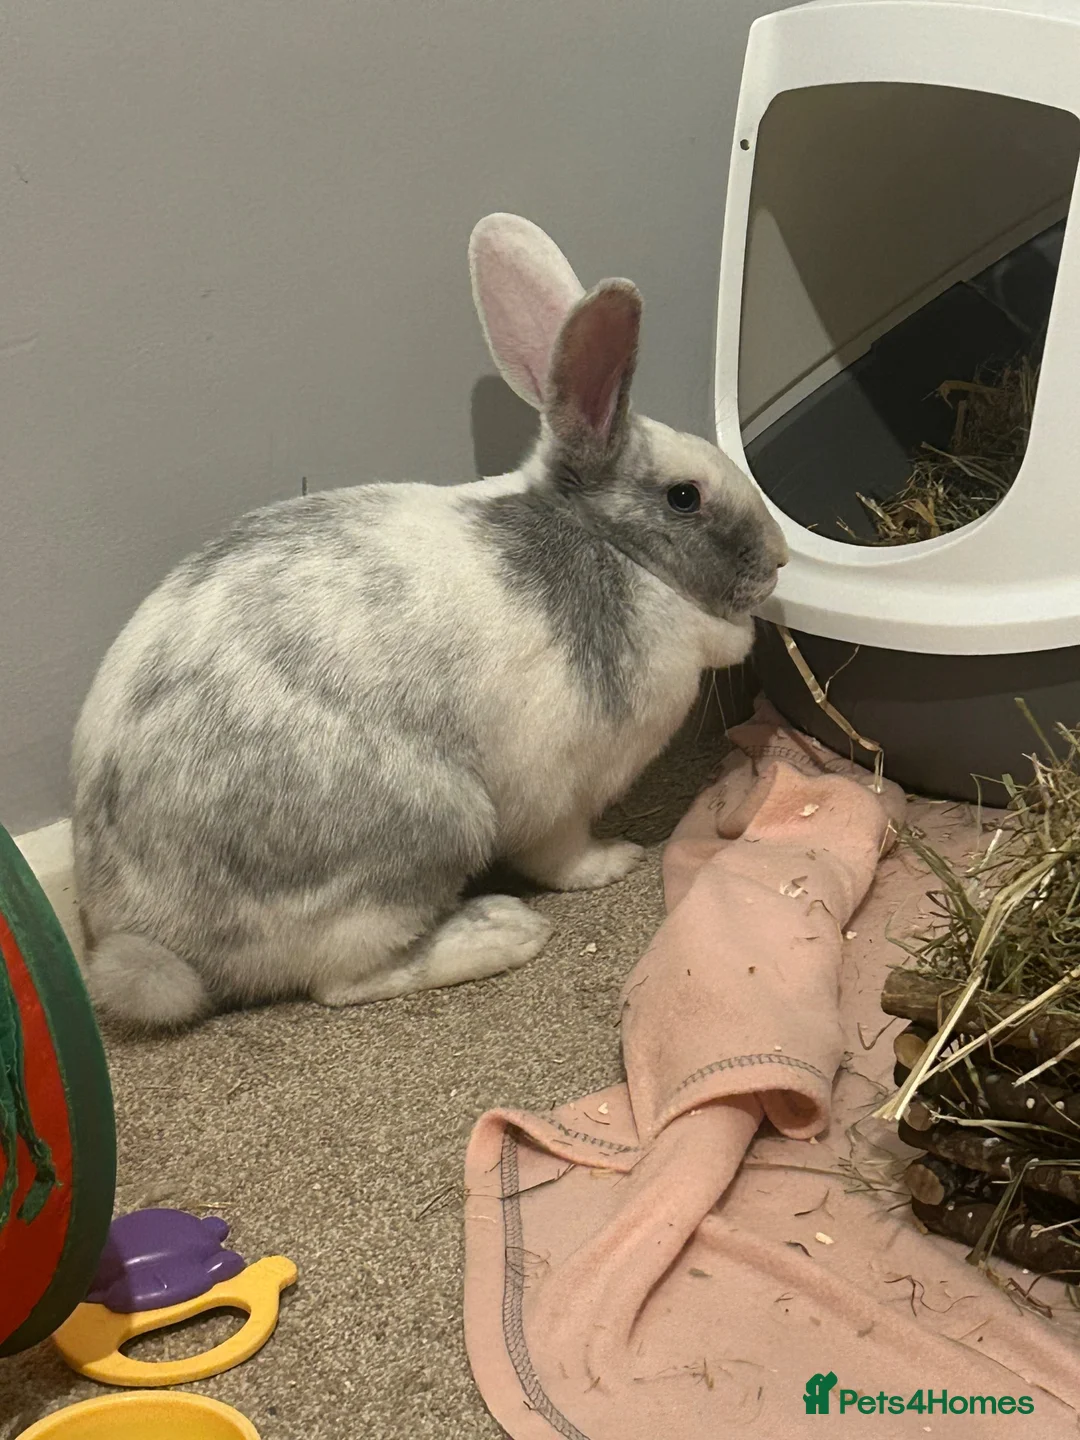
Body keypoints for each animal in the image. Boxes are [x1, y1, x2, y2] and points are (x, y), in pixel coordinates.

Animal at [71, 212, 788, 1030]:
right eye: (684, 497)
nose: (780, 559)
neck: (617, 554)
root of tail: (149, 938)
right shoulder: (559, 791)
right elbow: (563, 853)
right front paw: (614, 863)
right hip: (432, 832)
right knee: (341, 980)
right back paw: (502, 931)